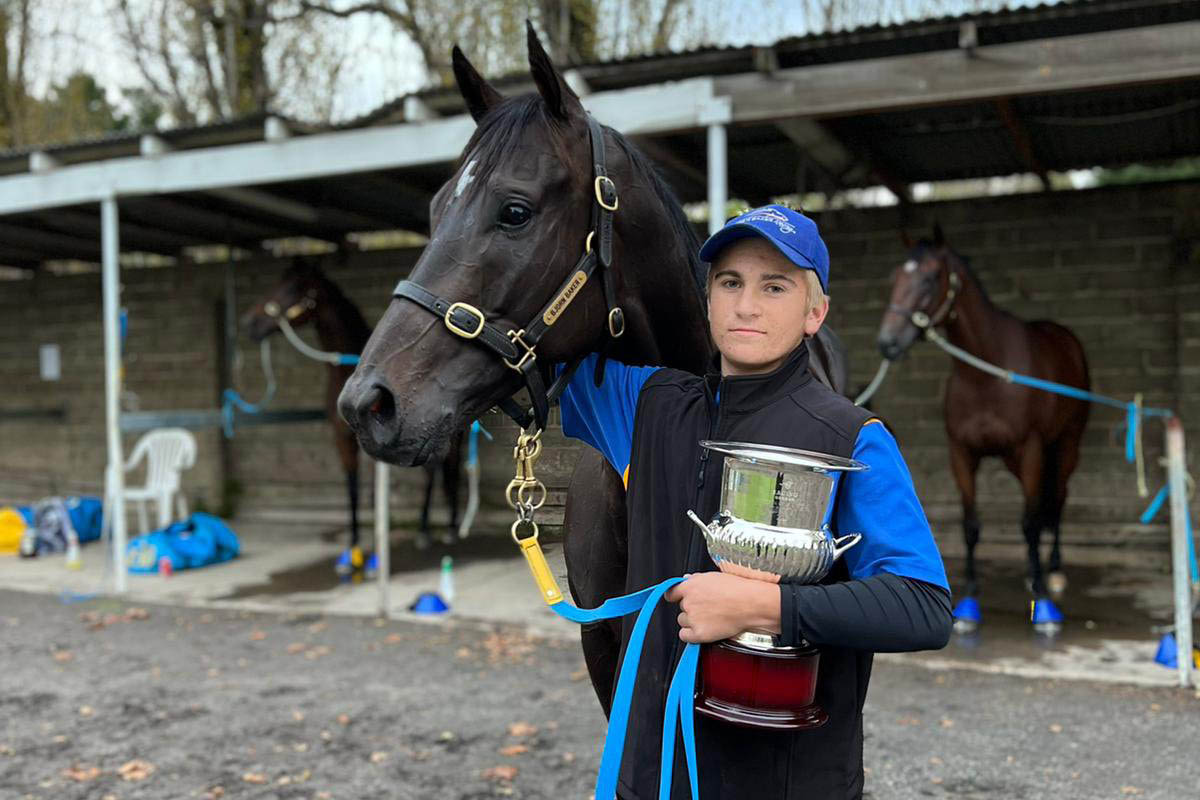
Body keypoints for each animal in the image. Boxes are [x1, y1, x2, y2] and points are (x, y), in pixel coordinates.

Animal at [241, 260, 465, 573]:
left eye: (292, 287)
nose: (250, 323)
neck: (346, 371)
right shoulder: (342, 438)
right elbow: (353, 491)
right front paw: (353, 549)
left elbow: (375, 499)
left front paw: (375, 557)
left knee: (443, 469)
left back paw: (437, 530)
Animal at [878, 225, 1094, 623]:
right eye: (895, 276)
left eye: (930, 278)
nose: (888, 343)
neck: (986, 375)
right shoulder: (962, 454)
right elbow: (971, 525)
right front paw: (971, 594)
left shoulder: (1031, 449)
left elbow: (1029, 522)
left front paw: (1040, 590)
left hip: (1066, 444)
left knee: (1057, 499)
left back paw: (1053, 571)